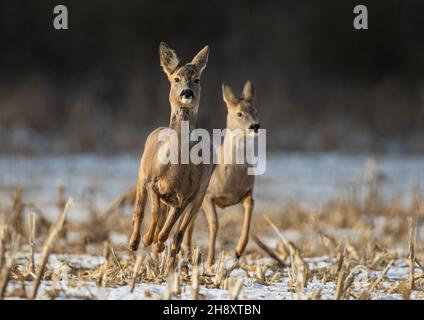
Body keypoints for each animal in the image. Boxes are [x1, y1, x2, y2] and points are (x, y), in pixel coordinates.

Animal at [128, 42, 215, 272]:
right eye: (176, 78)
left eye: (197, 79)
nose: (187, 92)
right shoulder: (152, 181)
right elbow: (155, 213)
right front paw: (148, 240)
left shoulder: (186, 195)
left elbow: (170, 226)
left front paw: (157, 242)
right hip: (141, 175)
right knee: (139, 211)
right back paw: (135, 243)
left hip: (199, 197)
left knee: (179, 234)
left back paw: (167, 264)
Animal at [184, 80, 260, 268]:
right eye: (239, 113)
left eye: (255, 110)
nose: (255, 126)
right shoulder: (208, 195)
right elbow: (214, 224)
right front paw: (210, 261)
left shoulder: (248, 192)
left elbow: (250, 206)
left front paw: (239, 250)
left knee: (188, 223)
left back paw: (187, 255)